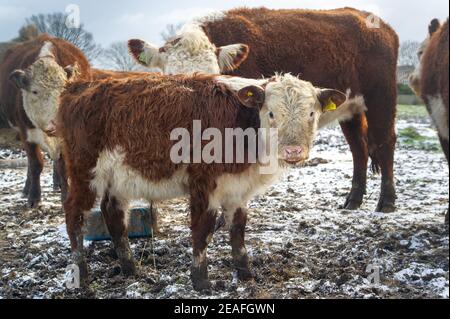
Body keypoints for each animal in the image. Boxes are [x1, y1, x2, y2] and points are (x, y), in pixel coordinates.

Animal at [0, 35, 91, 209]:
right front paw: (34, 198)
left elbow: (63, 166)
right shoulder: (26, 133)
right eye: (35, 91)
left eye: (65, 90)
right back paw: (27, 189)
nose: (57, 122)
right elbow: (36, 164)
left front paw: (65, 196)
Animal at [47, 72, 366, 292]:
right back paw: (81, 273)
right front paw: (200, 280)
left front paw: (245, 273)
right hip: (84, 172)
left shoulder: (238, 189)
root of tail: (81, 83)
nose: (293, 151)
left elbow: (237, 230)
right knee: (74, 216)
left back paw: (130, 268)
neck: (242, 125)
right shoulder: (203, 183)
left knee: (113, 215)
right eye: (271, 113)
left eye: (312, 113)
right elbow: (202, 229)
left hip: (118, 178)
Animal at [128, 6, 400, 214]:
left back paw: (386, 202)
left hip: (382, 98)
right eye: (173, 78)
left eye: (213, 74)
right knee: (359, 149)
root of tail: (375, 21)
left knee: (385, 143)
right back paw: (353, 201)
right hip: (351, 108)